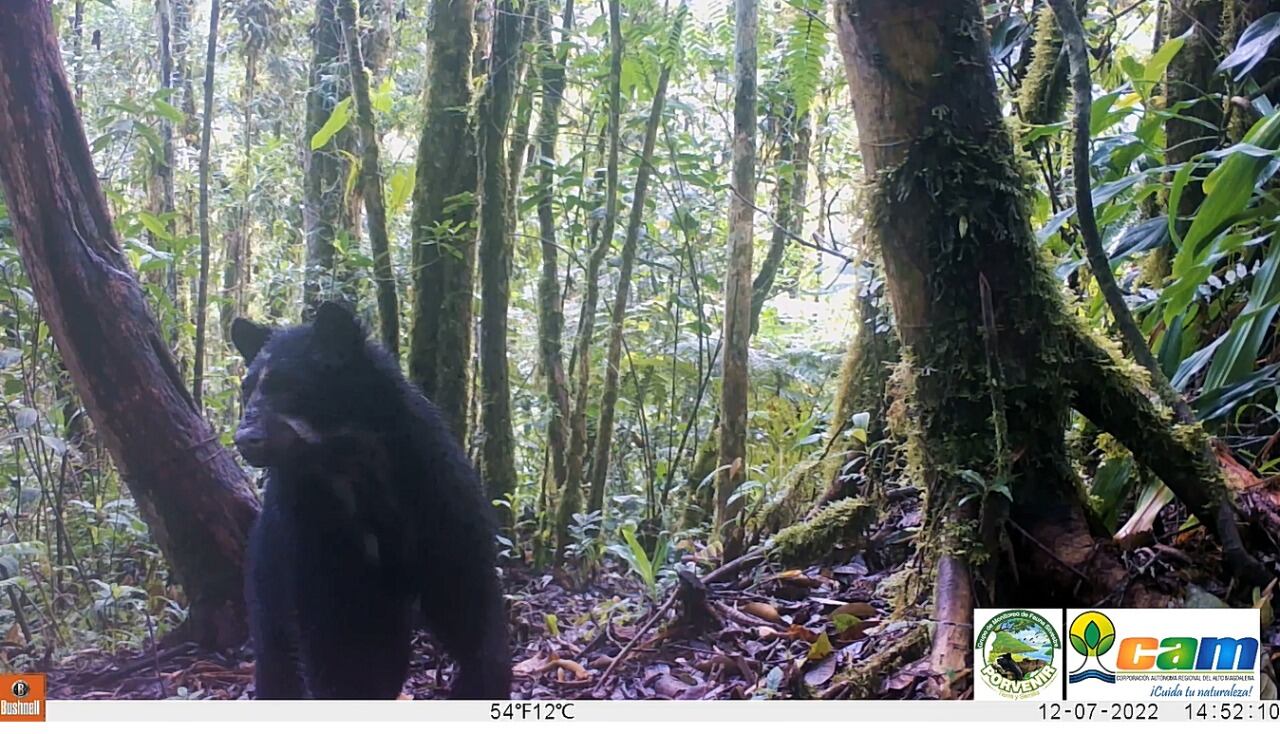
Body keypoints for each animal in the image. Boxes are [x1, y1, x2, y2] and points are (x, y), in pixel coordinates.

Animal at [230, 302, 511, 700]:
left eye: (289, 384)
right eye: (247, 387)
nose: (245, 438)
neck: (349, 461)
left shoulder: (438, 501)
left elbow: (467, 598)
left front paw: (478, 682)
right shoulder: (309, 528)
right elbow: (334, 643)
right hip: (268, 580)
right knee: (279, 658)